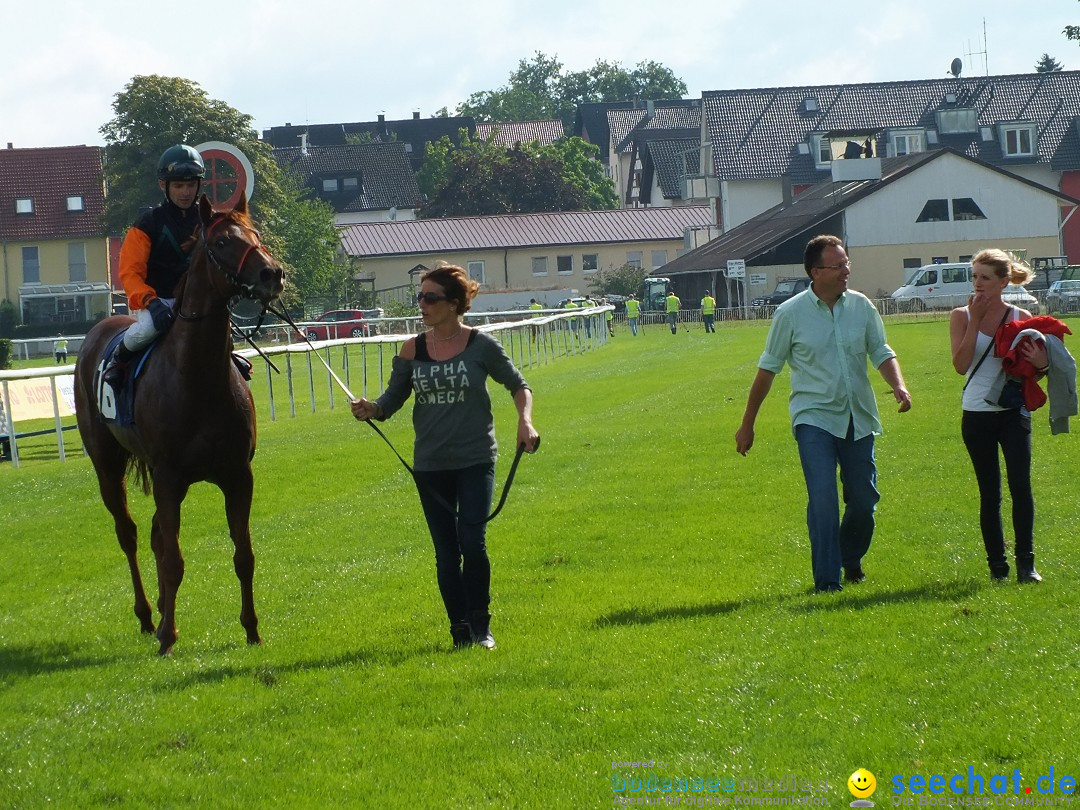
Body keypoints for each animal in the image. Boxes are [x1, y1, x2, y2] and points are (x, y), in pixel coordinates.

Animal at [76, 196, 287, 660]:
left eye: (256, 234)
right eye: (223, 241)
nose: (272, 273)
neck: (197, 379)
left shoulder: (237, 476)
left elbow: (243, 555)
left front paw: (252, 629)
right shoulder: (170, 477)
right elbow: (173, 559)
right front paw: (169, 636)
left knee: (156, 533)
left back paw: (158, 610)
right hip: (107, 464)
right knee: (130, 534)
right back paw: (147, 616)